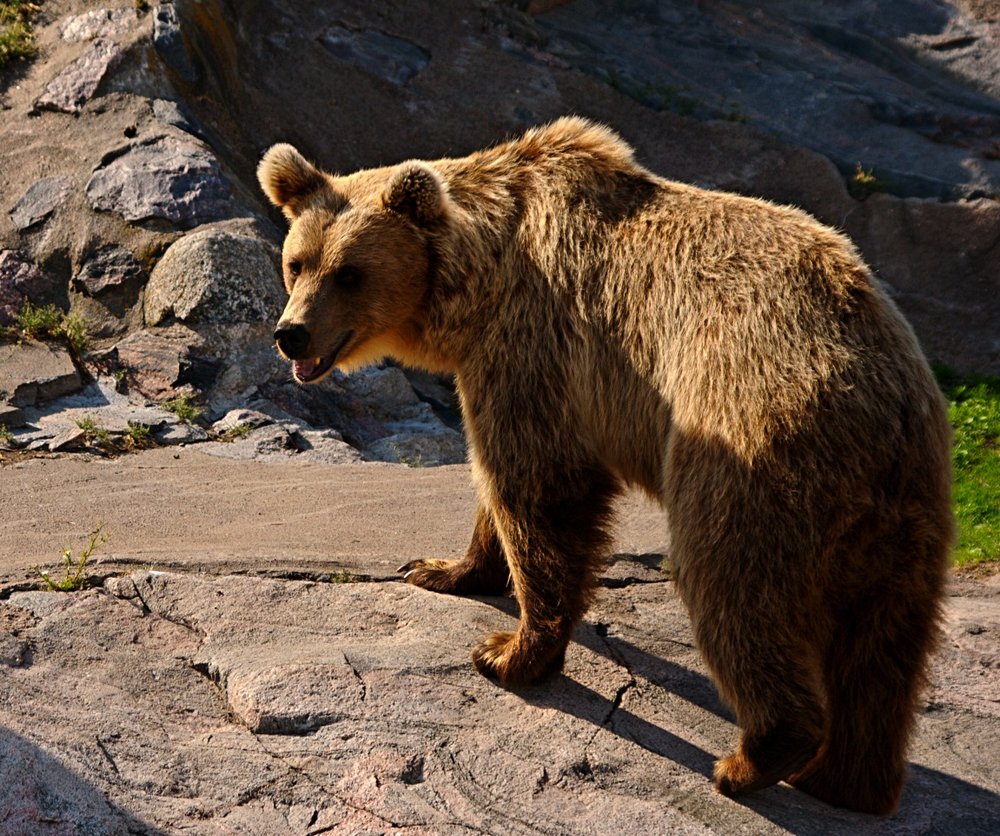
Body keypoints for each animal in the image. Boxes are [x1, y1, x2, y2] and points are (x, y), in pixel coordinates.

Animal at [257, 117, 954, 815]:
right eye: (297, 262)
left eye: (350, 273)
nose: (291, 334)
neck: (478, 282)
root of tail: (883, 395)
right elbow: (499, 485)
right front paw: (445, 569)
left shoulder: (535, 342)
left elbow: (538, 486)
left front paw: (508, 653)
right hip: (902, 507)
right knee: (883, 645)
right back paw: (845, 780)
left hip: (750, 442)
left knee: (733, 581)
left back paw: (754, 758)